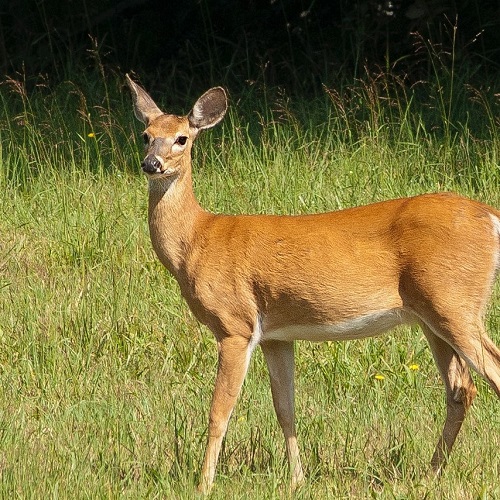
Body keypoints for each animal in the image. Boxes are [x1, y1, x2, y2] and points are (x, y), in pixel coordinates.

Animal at [126, 76, 500, 494]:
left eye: (182, 138)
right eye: (145, 135)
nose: (151, 164)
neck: (197, 239)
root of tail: (491, 216)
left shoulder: (235, 324)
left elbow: (219, 411)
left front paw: (203, 484)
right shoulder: (275, 335)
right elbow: (284, 409)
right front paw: (297, 480)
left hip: (454, 301)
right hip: (432, 314)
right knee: (461, 389)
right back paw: (428, 474)